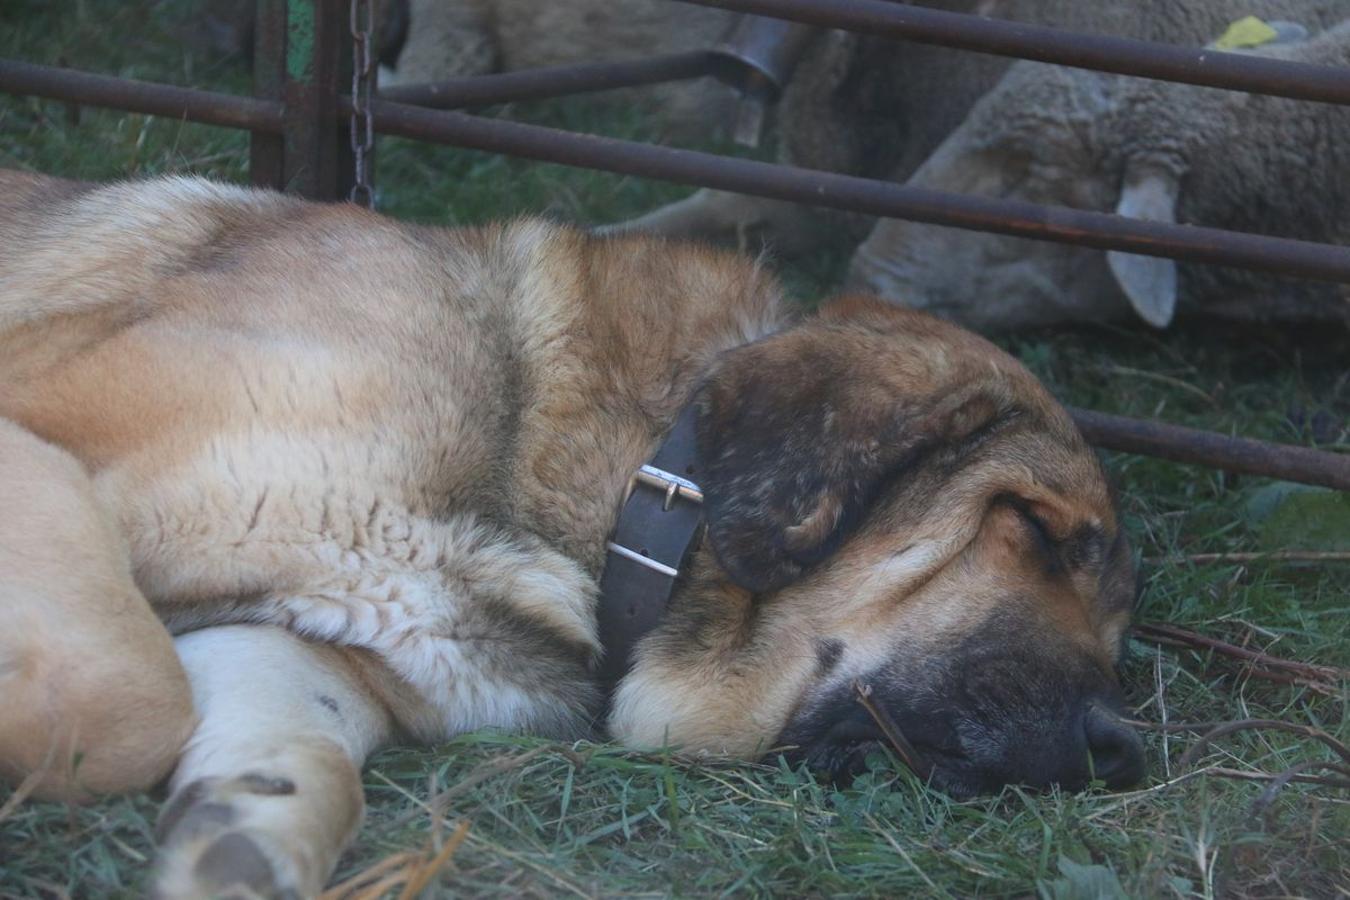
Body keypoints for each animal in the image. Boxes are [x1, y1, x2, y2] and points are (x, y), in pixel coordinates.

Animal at [0, 170, 1139, 900]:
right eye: (1034, 529)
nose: (1117, 748)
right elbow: (126, 697)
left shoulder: (313, 638)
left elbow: (281, 738)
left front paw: (238, 842)